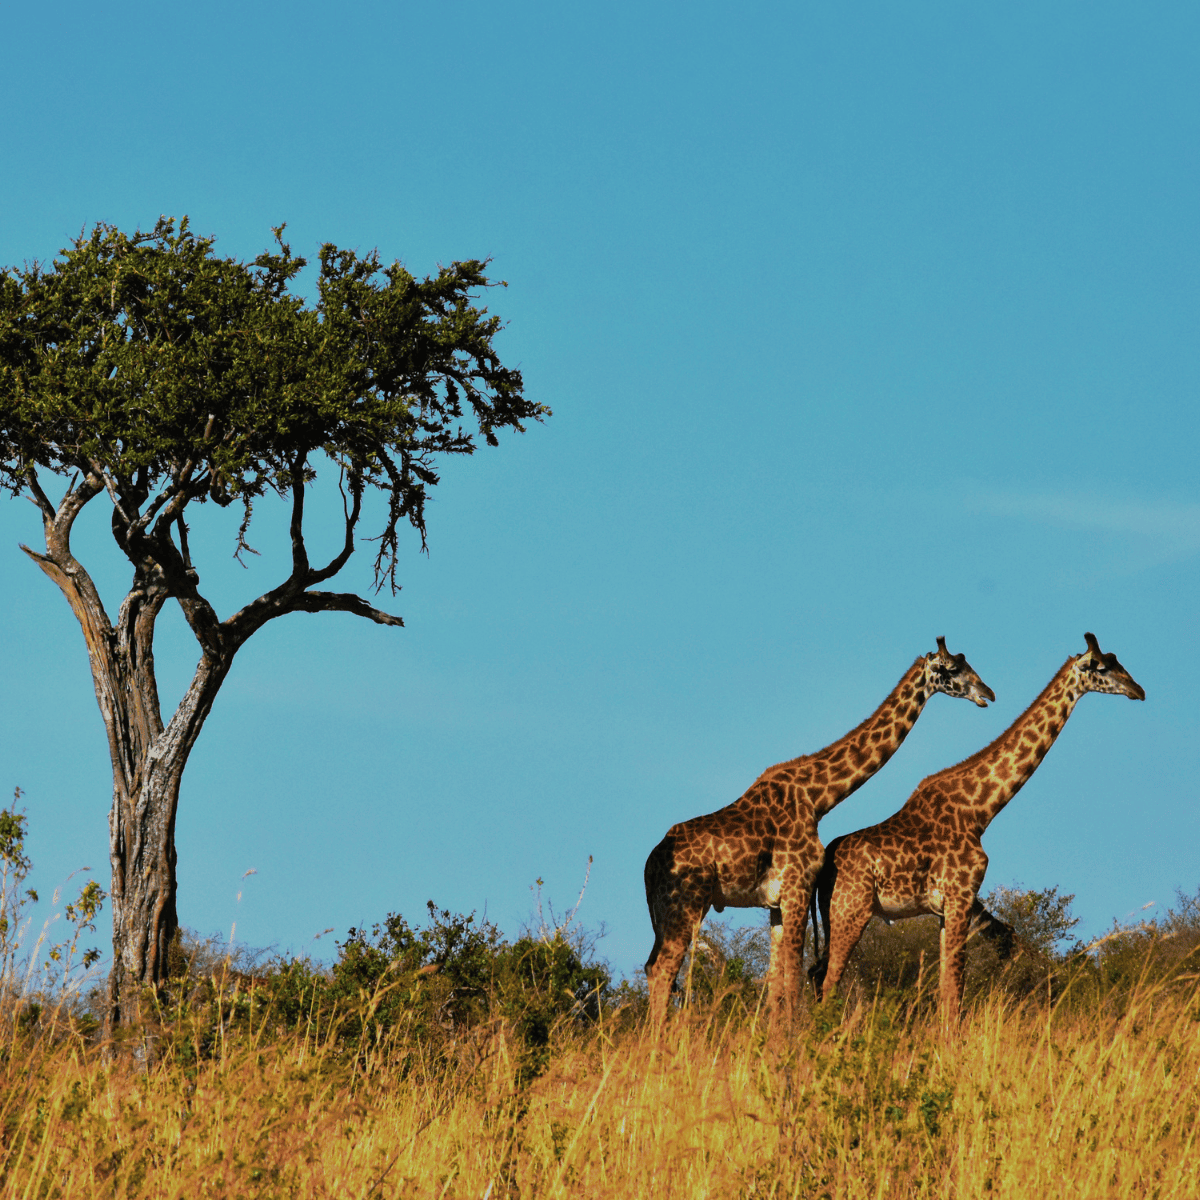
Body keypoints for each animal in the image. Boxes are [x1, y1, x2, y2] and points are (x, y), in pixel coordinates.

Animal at [643, 638, 998, 1022]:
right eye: (952, 669)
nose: (988, 693)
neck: (817, 798)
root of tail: (650, 867)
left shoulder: (776, 901)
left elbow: (777, 982)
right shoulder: (797, 886)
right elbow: (793, 978)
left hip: (664, 913)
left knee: (652, 967)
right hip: (688, 903)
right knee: (663, 969)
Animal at [811, 628, 1147, 1022]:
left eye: (1118, 660)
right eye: (1101, 667)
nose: (1138, 689)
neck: (980, 810)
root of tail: (825, 868)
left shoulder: (953, 906)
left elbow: (950, 985)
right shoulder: (960, 896)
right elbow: (953, 990)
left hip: (832, 914)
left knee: (816, 973)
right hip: (851, 910)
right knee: (829, 979)